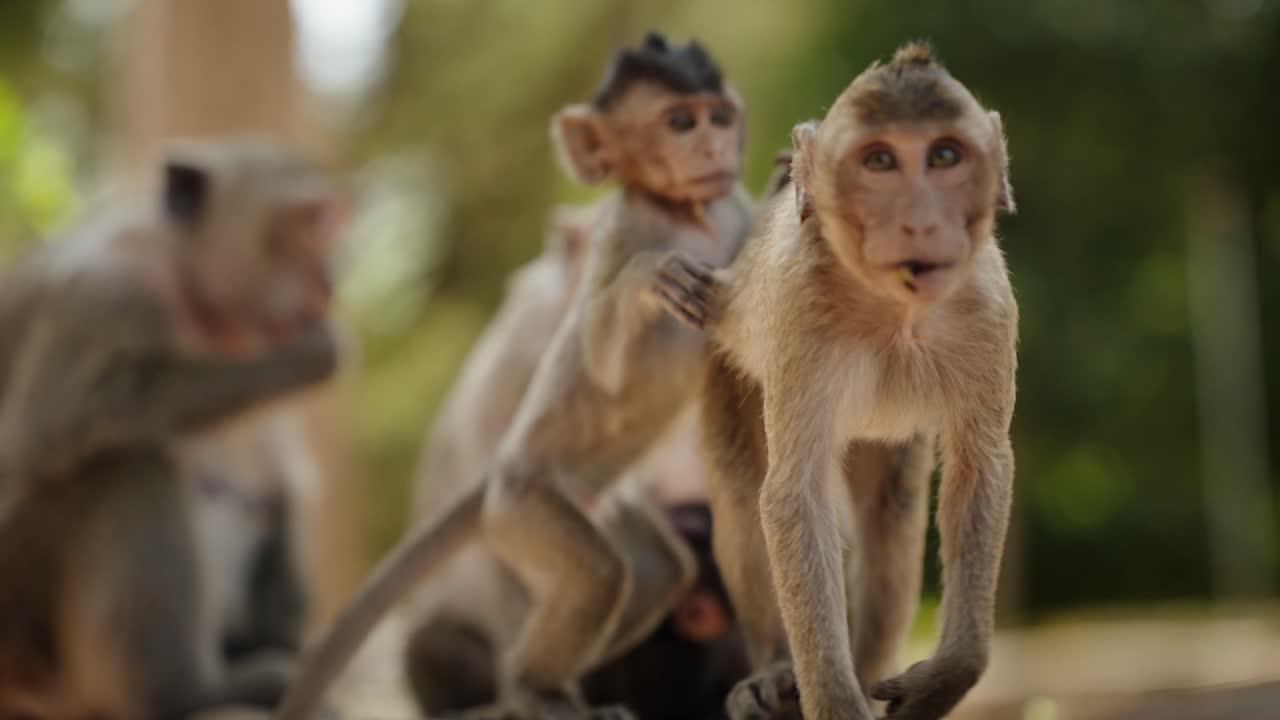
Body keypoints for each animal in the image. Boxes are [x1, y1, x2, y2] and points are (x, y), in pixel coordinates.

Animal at [0, 138, 346, 719]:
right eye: (299, 227)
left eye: (324, 226)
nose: (327, 282)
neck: (195, 298)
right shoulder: (108, 290)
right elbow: (57, 421)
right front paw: (306, 355)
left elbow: (280, 484)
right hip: (25, 625)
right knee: (129, 465)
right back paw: (186, 693)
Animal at [277, 31, 753, 720]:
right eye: (680, 122)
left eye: (719, 115)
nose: (715, 149)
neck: (691, 217)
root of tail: (499, 474)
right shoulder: (620, 233)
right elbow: (604, 360)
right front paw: (649, 278)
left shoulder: (735, 212)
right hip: (525, 506)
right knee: (595, 572)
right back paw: (533, 687)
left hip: (600, 498)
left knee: (654, 570)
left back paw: (555, 677)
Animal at [653, 43, 1018, 720]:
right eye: (879, 161)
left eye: (944, 156)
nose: (919, 223)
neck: (898, 310)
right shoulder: (800, 316)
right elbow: (795, 497)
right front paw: (831, 696)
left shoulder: (989, 309)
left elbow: (979, 471)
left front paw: (949, 675)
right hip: (727, 372)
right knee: (744, 487)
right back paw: (775, 669)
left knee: (892, 513)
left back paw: (869, 667)